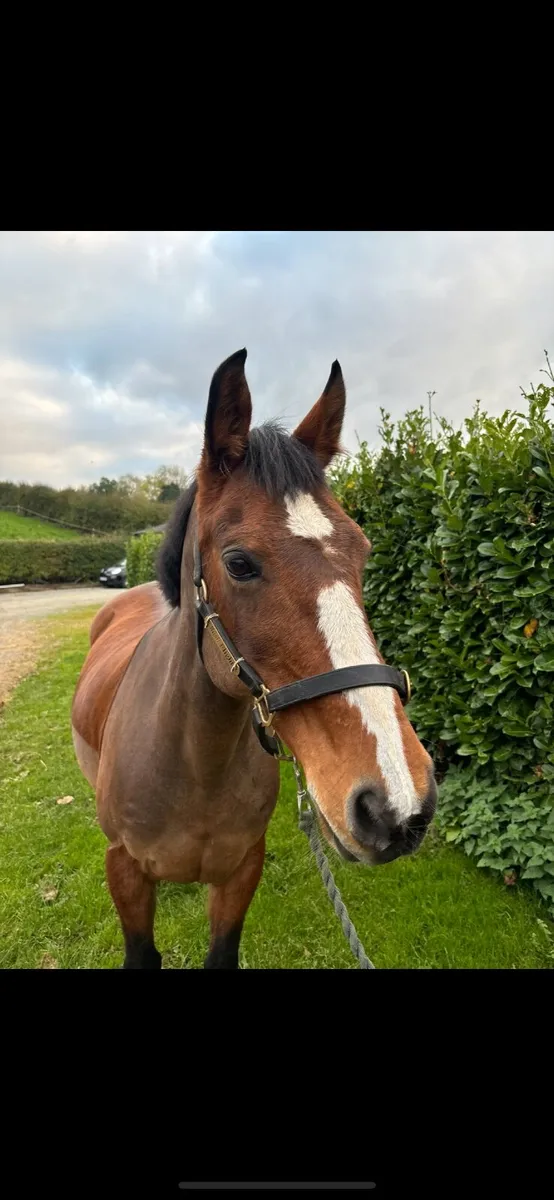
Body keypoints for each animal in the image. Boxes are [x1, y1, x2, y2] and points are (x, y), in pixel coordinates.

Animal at [71, 348, 437, 969]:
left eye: (364, 550)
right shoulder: (123, 870)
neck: (195, 761)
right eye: (239, 563)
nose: (397, 803)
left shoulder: (242, 872)